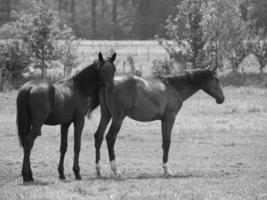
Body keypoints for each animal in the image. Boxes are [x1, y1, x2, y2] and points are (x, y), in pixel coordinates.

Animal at [16, 52, 117, 183]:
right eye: (103, 70)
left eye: (114, 69)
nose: (111, 89)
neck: (79, 87)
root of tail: (30, 87)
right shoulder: (79, 121)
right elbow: (77, 146)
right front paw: (77, 173)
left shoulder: (65, 124)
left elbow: (63, 147)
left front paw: (61, 173)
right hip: (37, 124)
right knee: (28, 144)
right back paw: (26, 175)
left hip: (28, 123)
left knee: (25, 145)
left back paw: (29, 175)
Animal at [94, 65, 226, 177]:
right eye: (217, 80)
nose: (222, 99)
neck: (174, 87)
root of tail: (108, 82)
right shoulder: (170, 118)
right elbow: (167, 142)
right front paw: (167, 170)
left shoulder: (163, 120)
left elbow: (163, 142)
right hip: (118, 118)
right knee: (110, 138)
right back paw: (116, 170)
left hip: (106, 115)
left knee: (98, 136)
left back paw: (99, 170)